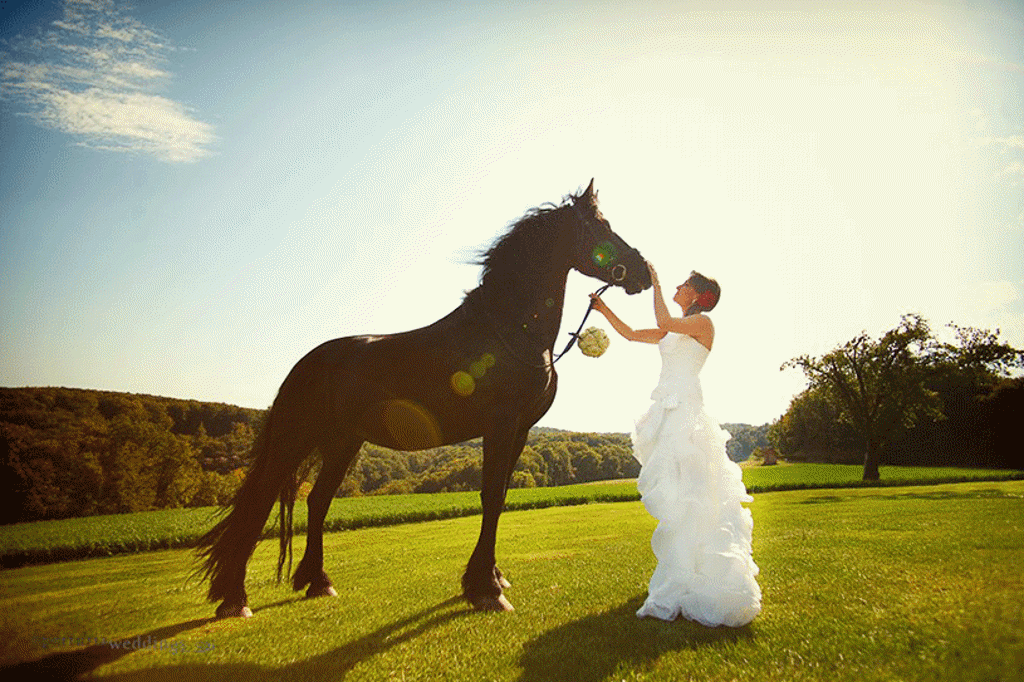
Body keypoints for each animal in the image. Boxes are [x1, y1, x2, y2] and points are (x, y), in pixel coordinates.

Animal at [195, 179, 651, 614]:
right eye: (600, 228)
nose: (644, 272)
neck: (509, 330)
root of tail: (303, 364)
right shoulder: (500, 426)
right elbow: (491, 497)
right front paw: (485, 589)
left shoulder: (520, 431)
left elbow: (501, 496)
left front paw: (490, 577)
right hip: (293, 442)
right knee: (260, 504)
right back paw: (235, 599)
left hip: (343, 444)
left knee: (317, 502)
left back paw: (317, 582)